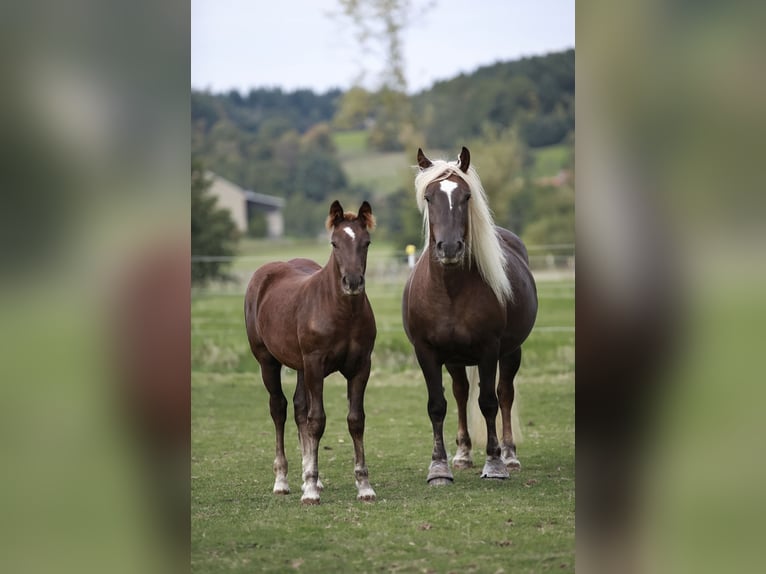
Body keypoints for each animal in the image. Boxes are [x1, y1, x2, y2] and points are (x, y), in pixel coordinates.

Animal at [244, 200, 377, 504]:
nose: (353, 282)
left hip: (300, 366)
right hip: (268, 362)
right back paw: (282, 481)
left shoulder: (361, 366)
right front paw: (311, 493)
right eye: (334, 243)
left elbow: (355, 420)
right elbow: (317, 421)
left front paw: (363, 486)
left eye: (366, 242)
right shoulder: (315, 364)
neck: (343, 314)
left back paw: (308, 477)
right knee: (279, 408)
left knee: (298, 408)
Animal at [402, 147, 538, 485]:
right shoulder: (427, 352)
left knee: (504, 394)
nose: (450, 247)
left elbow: (489, 402)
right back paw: (463, 454)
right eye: (429, 197)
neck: (451, 290)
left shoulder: (490, 349)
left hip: (511, 351)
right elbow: (437, 405)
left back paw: (509, 454)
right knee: (461, 393)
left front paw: (495, 463)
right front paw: (439, 467)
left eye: (466, 196)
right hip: (454, 359)